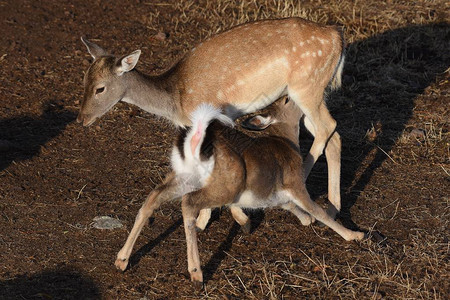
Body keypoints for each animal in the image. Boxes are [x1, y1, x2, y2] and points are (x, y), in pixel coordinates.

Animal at [78, 17, 344, 218]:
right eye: (84, 79)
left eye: (100, 88)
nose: (82, 119)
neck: (176, 100)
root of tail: (336, 36)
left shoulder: (219, 115)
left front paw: (215, 218)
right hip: (312, 93)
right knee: (334, 135)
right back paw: (333, 208)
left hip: (306, 87)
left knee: (327, 126)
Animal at [114, 97, 364, 284]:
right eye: (286, 99)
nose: (299, 99)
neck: (288, 142)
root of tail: (195, 141)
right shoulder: (295, 183)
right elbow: (319, 211)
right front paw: (354, 234)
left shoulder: (276, 194)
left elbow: (293, 208)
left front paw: (304, 220)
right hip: (225, 183)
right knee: (189, 203)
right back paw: (196, 272)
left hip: (183, 176)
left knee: (154, 196)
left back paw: (122, 259)